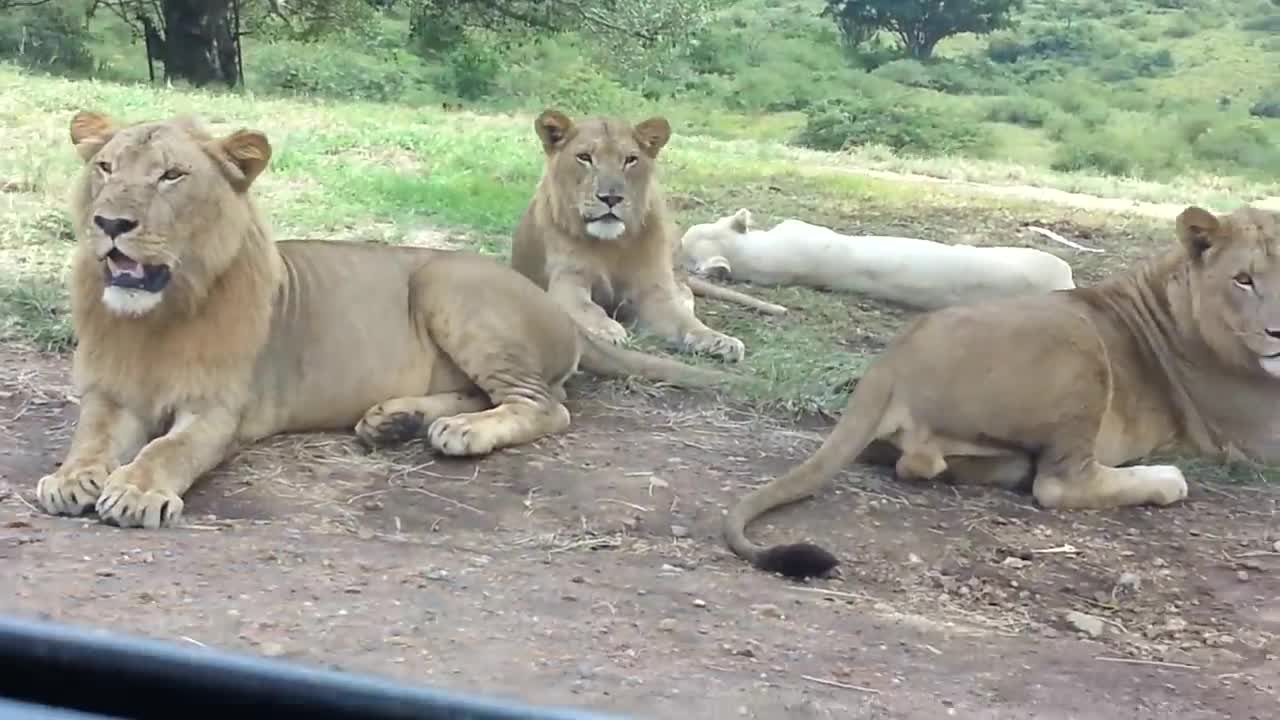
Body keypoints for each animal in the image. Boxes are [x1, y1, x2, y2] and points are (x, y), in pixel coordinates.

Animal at [35, 110, 742, 527]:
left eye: (172, 176)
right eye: (106, 168)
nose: (110, 223)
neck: (155, 317)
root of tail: (552, 303)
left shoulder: (218, 410)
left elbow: (167, 448)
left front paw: (135, 491)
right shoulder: (108, 393)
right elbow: (90, 439)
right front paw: (70, 479)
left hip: (445, 284)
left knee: (547, 405)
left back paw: (461, 433)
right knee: (486, 394)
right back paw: (397, 421)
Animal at [512, 109, 788, 363]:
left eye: (630, 160)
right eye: (584, 157)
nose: (611, 198)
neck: (611, 246)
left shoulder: (652, 289)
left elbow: (684, 321)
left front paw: (718, 340)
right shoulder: (568, 281)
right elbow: (586, 306)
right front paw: (605, 329)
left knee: (684, 291)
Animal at [727, 203, 1280, 576]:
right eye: (1244, 280)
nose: (1277, 331)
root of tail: (892, 360)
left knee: (927, 464)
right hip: (1078, 340)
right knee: (1059, 484)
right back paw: (1165, 479)